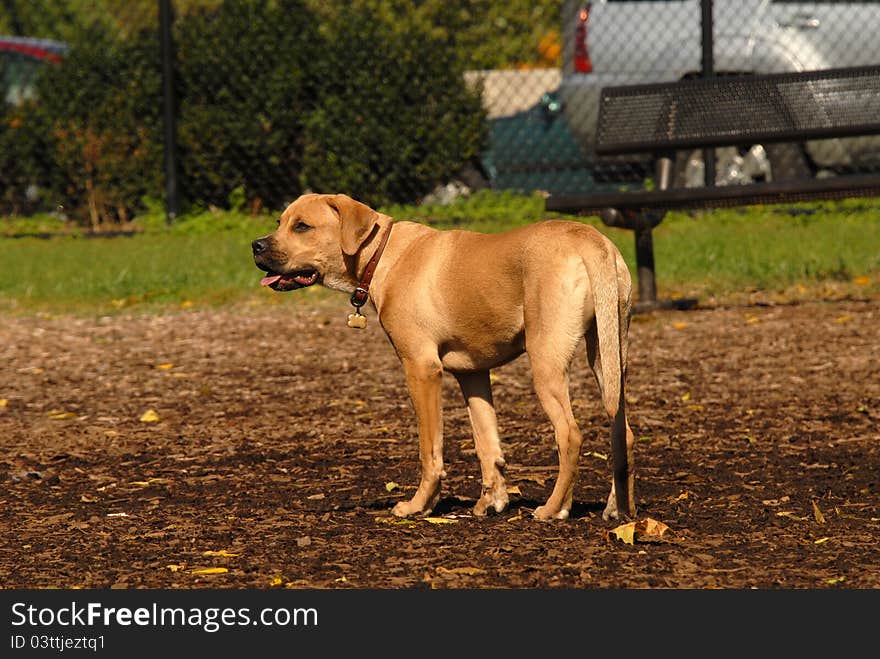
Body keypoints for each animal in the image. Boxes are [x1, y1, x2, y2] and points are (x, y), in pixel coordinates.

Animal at [251, 193, 636, 524]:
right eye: (280, 222)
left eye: (302, 226)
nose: (256, 245)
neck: (382, 254)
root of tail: (592, 241)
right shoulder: (474, 375)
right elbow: (487, 444)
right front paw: (490, 502)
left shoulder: (421, 369)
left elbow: (430, 449)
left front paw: (419, 505)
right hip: (607, 356)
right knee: (624, 432)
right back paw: (619, 509)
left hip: (547, 360)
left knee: (569, 434)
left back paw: (554, 508)